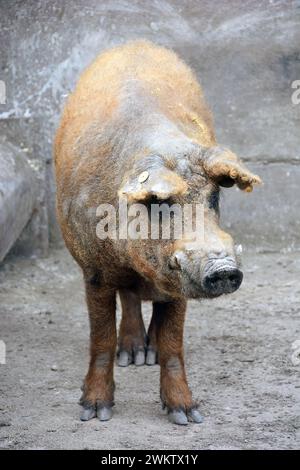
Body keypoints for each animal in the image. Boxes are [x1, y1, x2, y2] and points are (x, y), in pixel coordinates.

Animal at [55, 40, 262, 426]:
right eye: (159, 204)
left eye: (214, 198)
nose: (223, 268)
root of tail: (134, 42)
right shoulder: (93, 271)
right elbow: (101, 338)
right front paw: (94, 413)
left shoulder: (179, 283)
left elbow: (172, 344)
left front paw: (187, 416)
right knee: (129, 299)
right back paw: (133, 356)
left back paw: (146, 354)